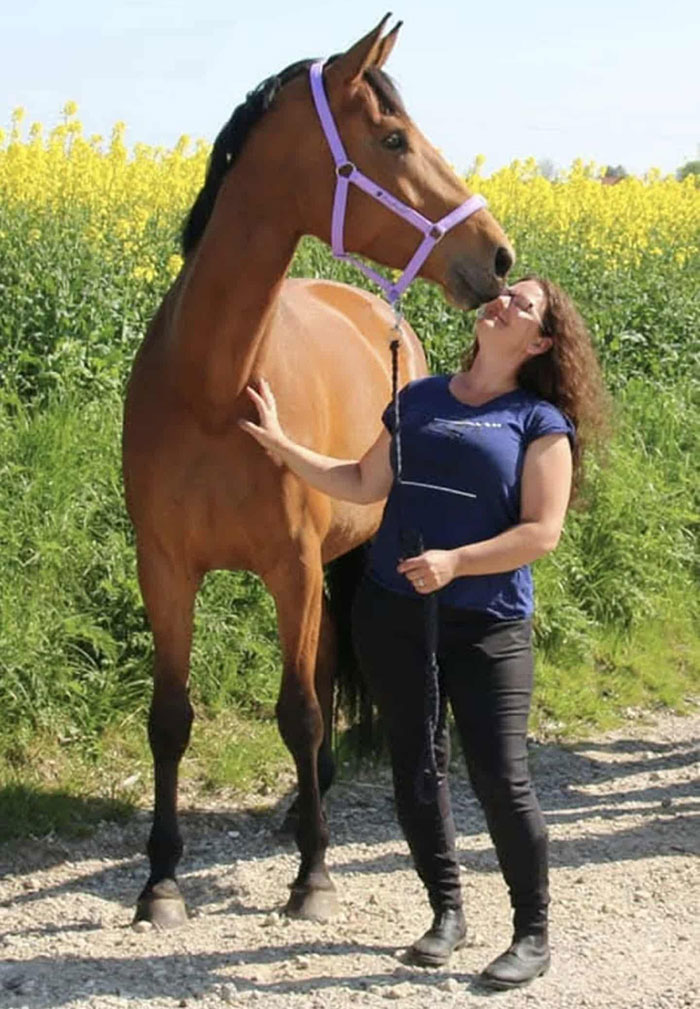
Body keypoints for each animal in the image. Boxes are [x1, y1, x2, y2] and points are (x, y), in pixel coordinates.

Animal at [122, 15, 514, 928]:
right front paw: (161, 881)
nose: (499, 256)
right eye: (394, 137)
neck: (213, 389)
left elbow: (298, 713)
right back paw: (307, 806)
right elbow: (170, 718)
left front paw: (313, 877)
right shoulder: (165, 568)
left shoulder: (291, 568)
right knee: (332, 655)